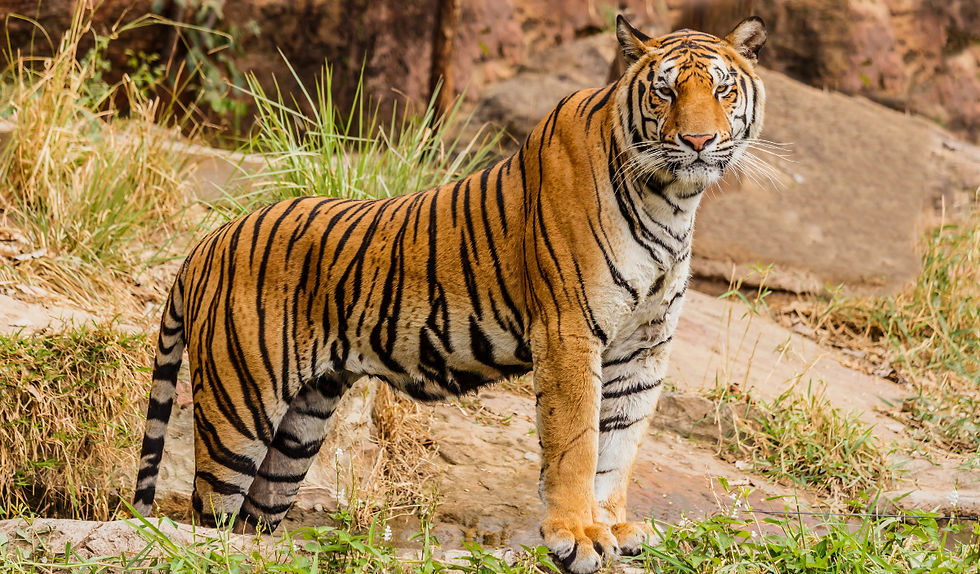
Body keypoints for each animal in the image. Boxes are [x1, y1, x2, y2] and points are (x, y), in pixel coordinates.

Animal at [132, 15, 766, 574]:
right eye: (664, 91)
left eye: (722, 88)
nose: (699, 140)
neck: (673, 201)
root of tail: (206, 241)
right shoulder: (569, 330)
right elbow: (577, 444)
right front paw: (577, 536)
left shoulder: (644, 345)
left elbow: (620, 445)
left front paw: (611, 526)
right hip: (237, 409)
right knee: (207, 517)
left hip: (299, 428)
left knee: (252, 521)